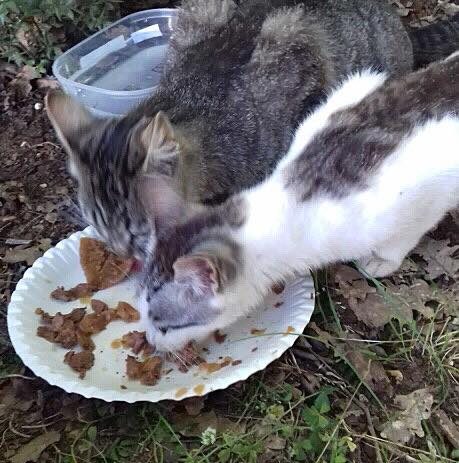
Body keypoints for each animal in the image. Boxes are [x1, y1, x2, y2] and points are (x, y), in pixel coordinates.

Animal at [139, 51, 459, 352]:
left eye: (166, 326)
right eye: (141, 311)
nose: (150, 341)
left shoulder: (425, 189)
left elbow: (404, 236)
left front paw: (381, 261)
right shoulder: (349, 94)